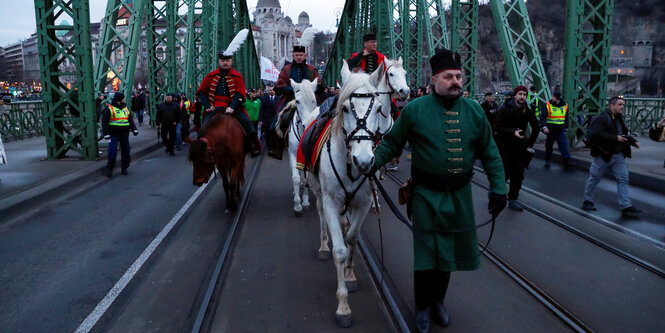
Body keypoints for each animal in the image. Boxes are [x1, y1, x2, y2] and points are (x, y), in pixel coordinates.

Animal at [274, 78, 318, 215]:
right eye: (297, 101)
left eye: (314, 100)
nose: (307, 125)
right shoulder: (293, 154)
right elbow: (296, 178)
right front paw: (297, 205)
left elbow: (306, 178)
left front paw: (305, 200)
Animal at [306, 60, 390, 326]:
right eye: (344, 108)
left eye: (378, 109)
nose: (363, 160)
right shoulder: (332, 202)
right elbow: (341, 251)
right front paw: (343, 306)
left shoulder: (363, 203)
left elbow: (352, 237)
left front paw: (351, 275)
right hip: (318, 192)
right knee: (321, 214)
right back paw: (324, 245)